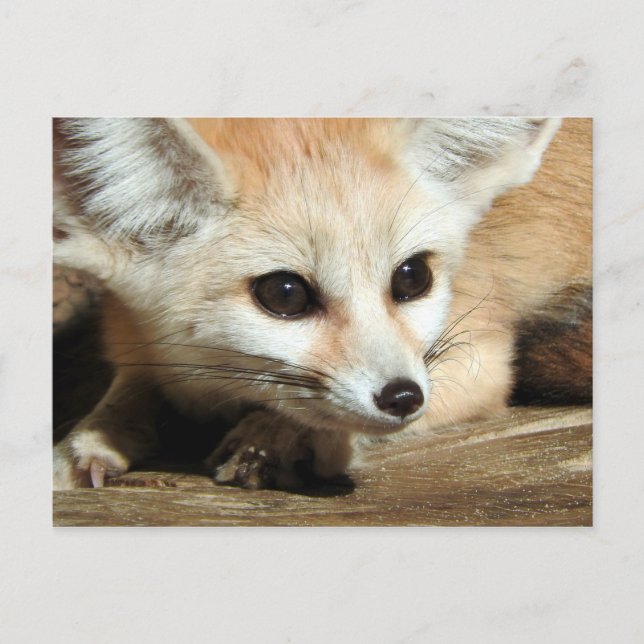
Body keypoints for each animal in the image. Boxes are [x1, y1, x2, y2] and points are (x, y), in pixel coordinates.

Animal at [52, 117, 592, 491]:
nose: (403, 397)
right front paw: (92, 438)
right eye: (285, 294)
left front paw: (275, 435)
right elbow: (128, 390)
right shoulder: (140, 345)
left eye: (413, 277)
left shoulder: (480, 357)